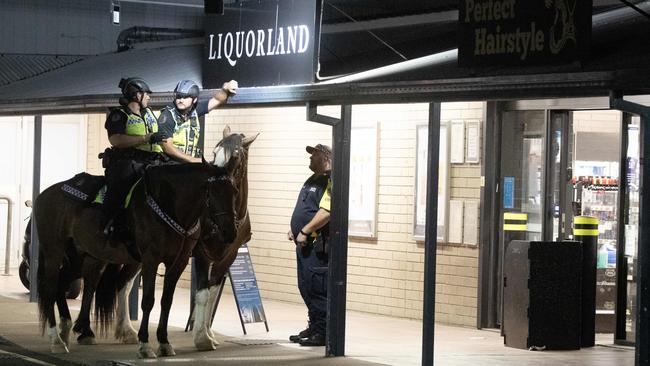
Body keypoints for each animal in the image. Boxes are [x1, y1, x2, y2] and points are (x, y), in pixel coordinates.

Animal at [34, 161, 237, 358]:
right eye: (211, 192)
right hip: (54, 252)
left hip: (79, 257)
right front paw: (145, 345)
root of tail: (44, 194)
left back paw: (67, 330)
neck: (170, 204)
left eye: (234, 191)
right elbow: (148, 300)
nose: (230, 233)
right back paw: (56, 340)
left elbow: (166, 301)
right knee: (50, 289)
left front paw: (164, 342)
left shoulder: (178, 262)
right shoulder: (150, 259)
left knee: (61, 284)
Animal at [190, 126, 256, 352]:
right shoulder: (202, 253)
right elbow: (202, 294)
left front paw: (207, 333)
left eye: (235, 156)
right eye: (214, 153)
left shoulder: (228, 256)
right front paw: (201, 338)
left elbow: (211, 294)